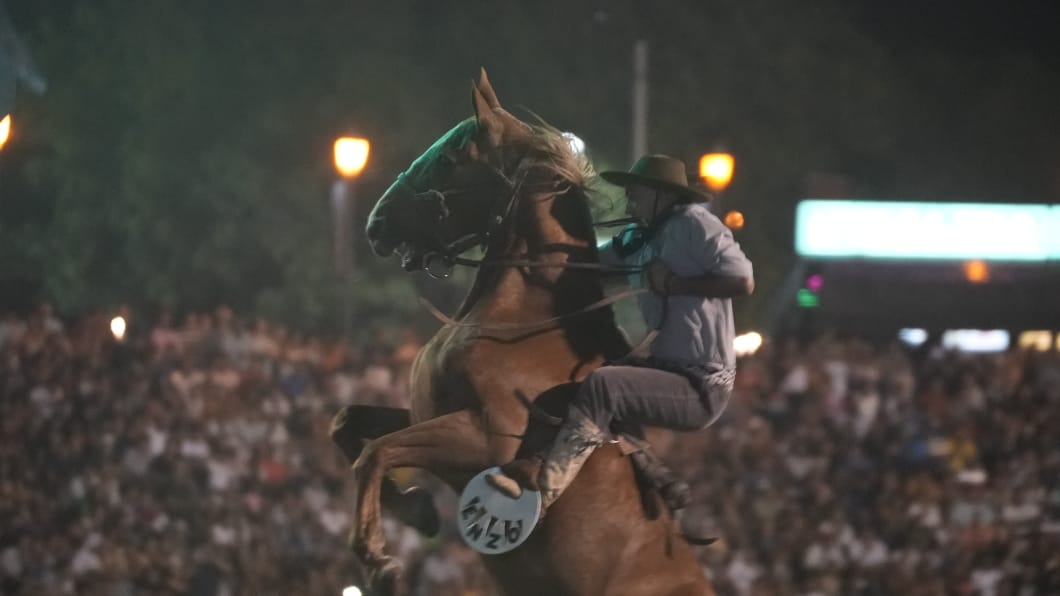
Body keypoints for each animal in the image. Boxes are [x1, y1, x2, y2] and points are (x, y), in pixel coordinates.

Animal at [330, 70, 712, 593]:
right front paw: (418, 508)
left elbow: (375, 452)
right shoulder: (424, 412)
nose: (376, 224)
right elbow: (348, 426)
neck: (521, 320)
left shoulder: (484, 440)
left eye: (448, 159)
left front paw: (377, 559)